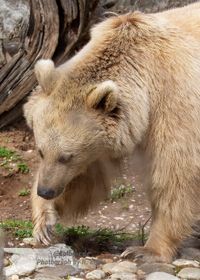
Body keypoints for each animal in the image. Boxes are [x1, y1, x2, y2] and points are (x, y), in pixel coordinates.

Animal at [23, 2, 200, 262]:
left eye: (67, 156)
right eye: (41, 151)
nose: (46, 190)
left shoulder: (176, 100)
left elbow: (175, 173)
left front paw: (145, 250)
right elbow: (91, 176)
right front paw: (44, 222)